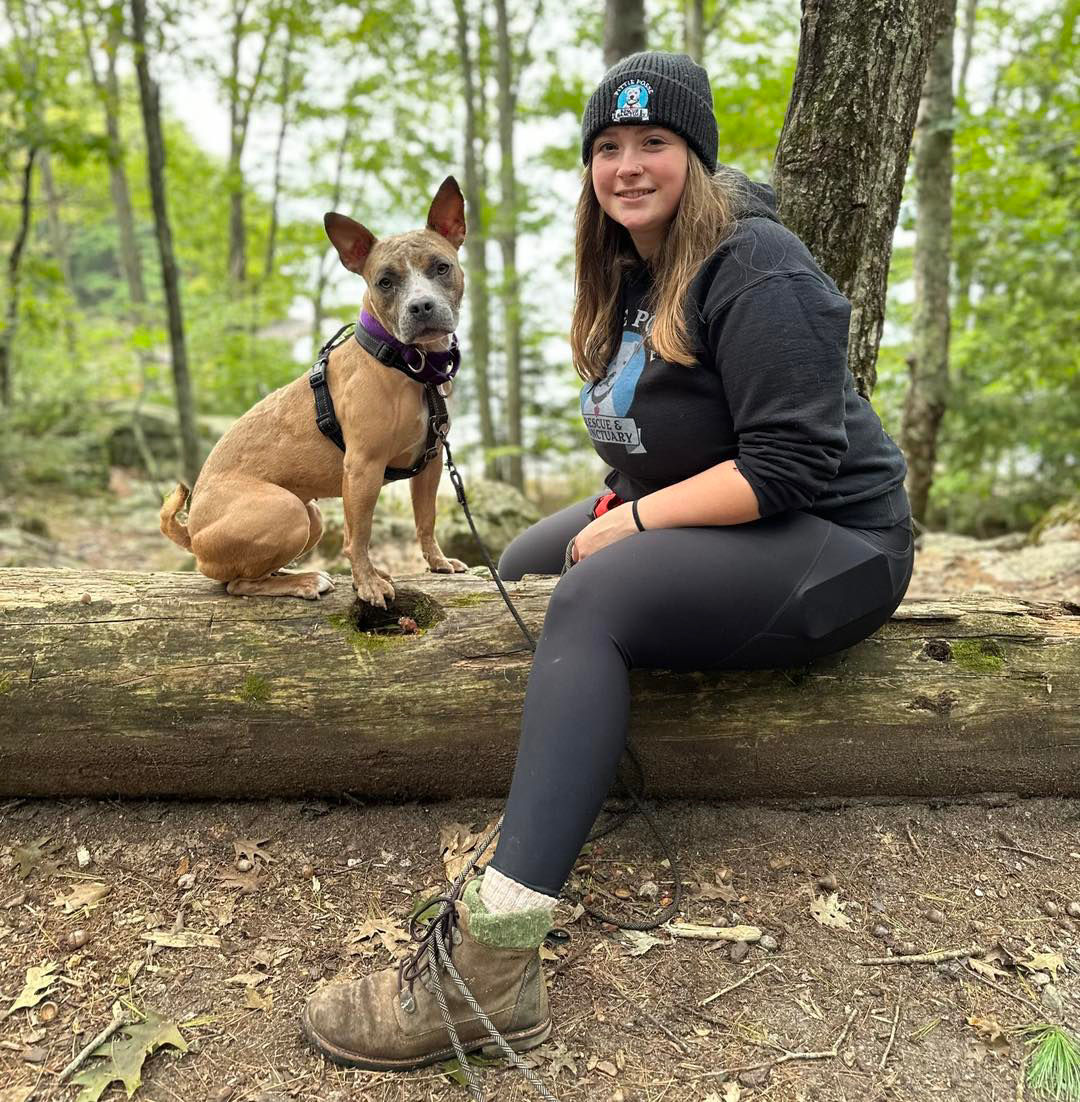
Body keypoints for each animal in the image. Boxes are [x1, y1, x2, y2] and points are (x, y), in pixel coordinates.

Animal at [159, 176, 467, 608]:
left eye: (442, 267)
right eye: (384, 282)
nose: (421, 306)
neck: (408, 363)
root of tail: (192, 534)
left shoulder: (432, 462)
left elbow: (426, 519)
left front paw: (437, 562)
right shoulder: (362, 468)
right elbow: (359, 536)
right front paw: (367, 583)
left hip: (312, 517)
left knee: (252, 572)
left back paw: (294, 573)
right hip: (287, 510)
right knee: (238, 584)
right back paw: (304, 581)